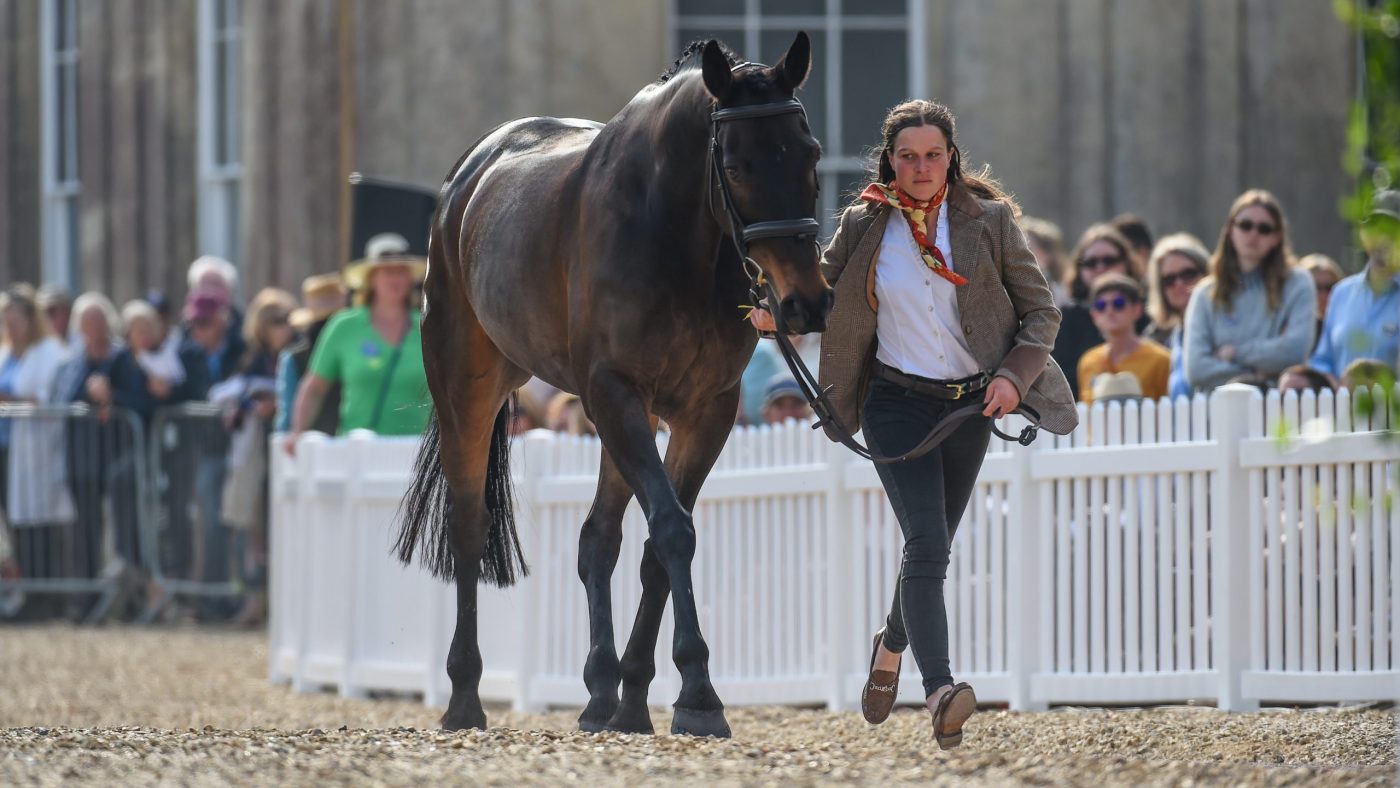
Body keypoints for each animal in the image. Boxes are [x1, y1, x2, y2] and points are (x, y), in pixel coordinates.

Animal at [394, 33, 832, 738]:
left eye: (811, 154)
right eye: (736, 166)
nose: (806, 304)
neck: (675, 235)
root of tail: (468, 177)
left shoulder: (703, 411)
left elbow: (657, 543)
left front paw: (641, 698)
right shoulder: (617, 392)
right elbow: (673, 529)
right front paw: (699, 691)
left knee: (596, 539)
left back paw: (602, 692)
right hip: (470, 386)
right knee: (467, 526)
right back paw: (464, 696)